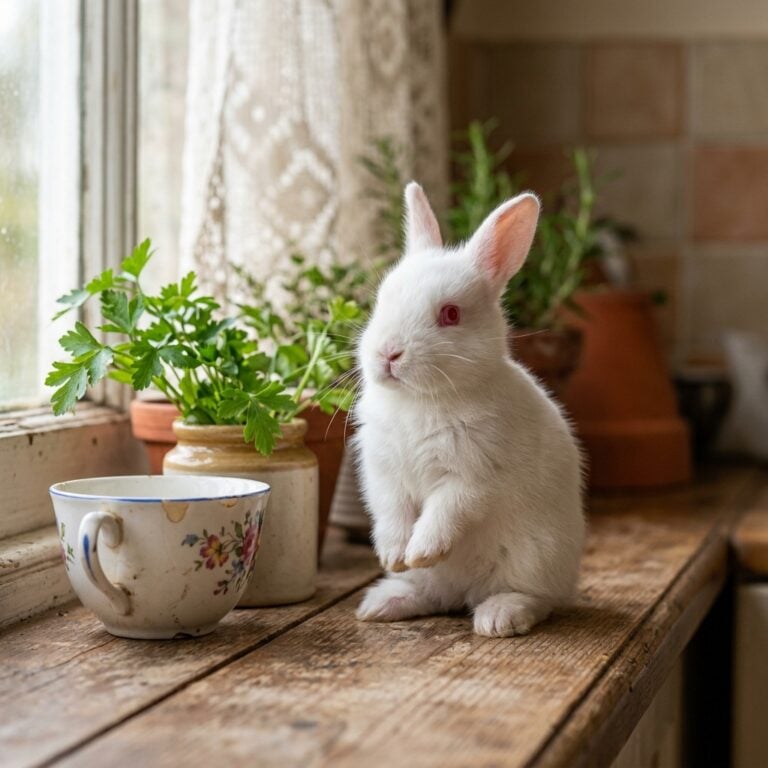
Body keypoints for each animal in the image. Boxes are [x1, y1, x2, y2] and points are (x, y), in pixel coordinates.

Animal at [352, 182, 585, 637]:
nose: (388, 353)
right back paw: (384, 602)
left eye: (450, 314)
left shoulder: (472, 476)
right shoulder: (383, 474)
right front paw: (394, 556)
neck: (421, 398)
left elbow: (446, 511)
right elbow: (391, 512)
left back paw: (499, 617)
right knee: (434, 595)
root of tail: (465, 591)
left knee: (538, 599)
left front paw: (422, 549)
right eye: (382, 300)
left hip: (534, 557)